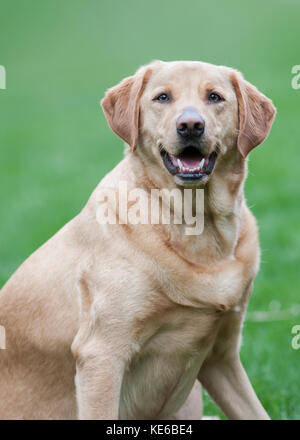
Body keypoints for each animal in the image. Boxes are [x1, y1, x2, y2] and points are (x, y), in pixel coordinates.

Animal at [0, 59, 276, 420]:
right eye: (162, 97)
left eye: (214, 97)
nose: (190, 125)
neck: (197, 226)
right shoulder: (101, 354)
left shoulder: (222, 356)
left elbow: (255, 411)